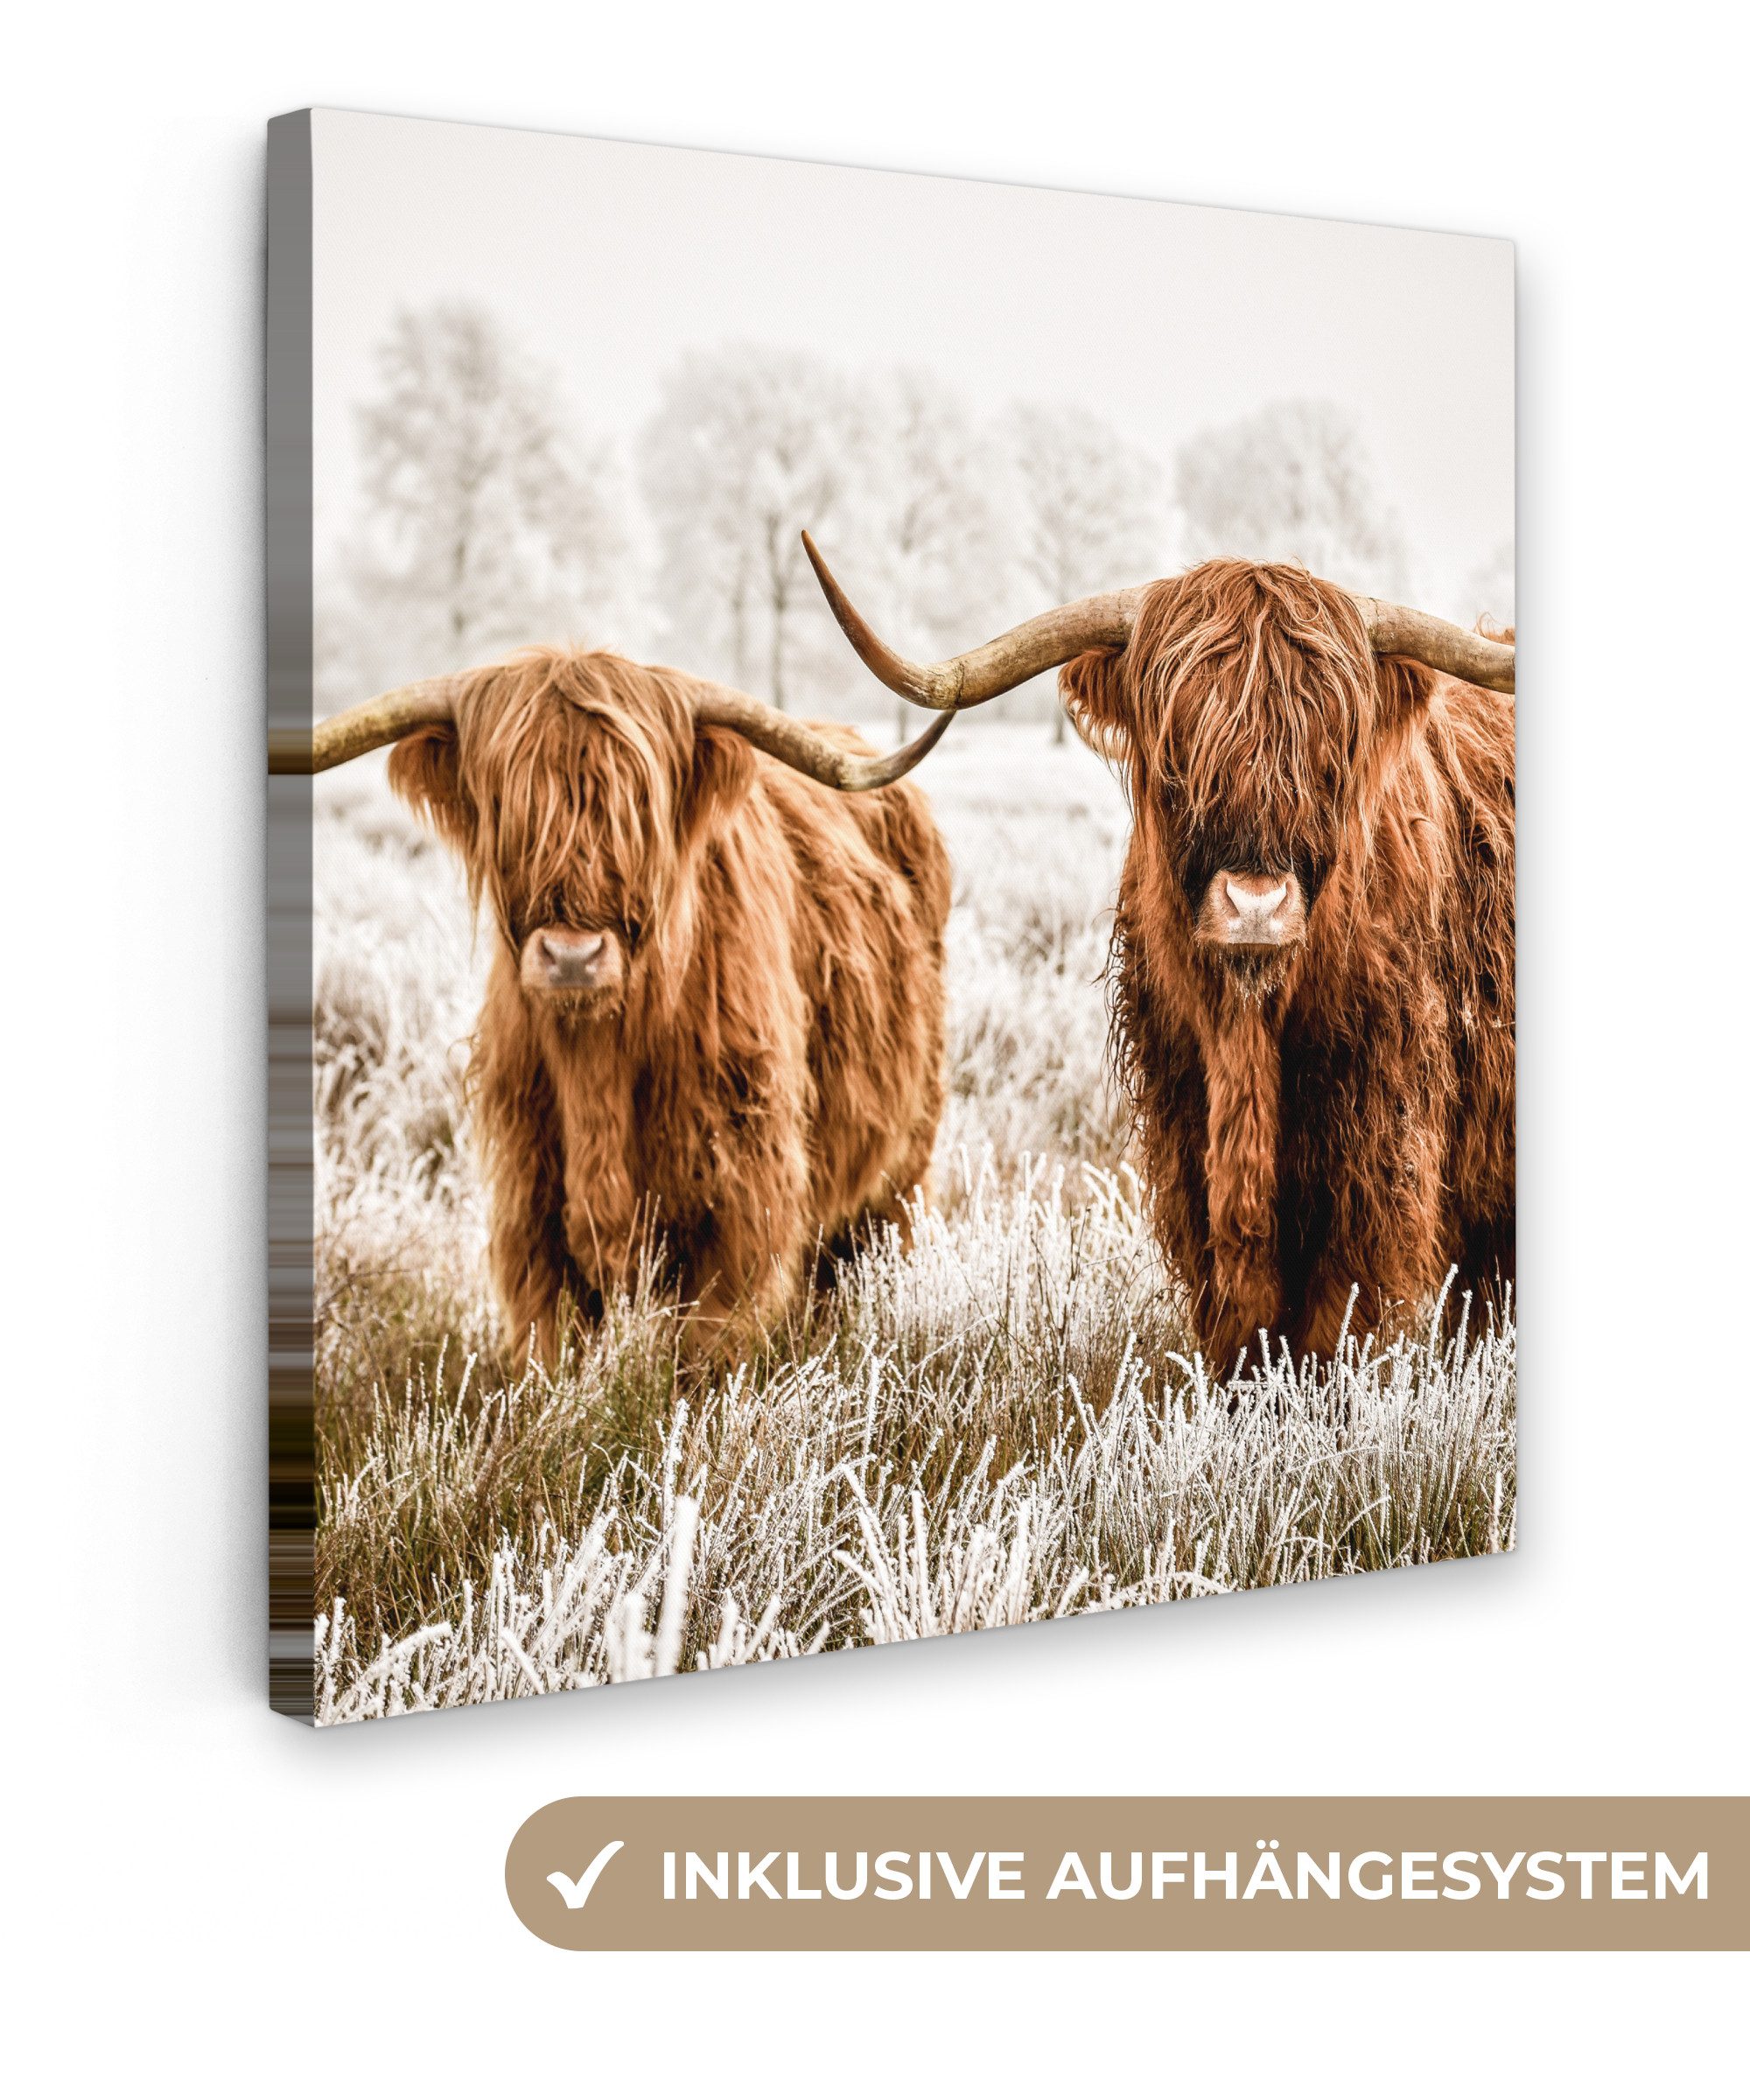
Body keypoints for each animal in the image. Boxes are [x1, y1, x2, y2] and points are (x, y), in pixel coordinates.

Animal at [278, 649, 955, 1360]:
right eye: (506, 807)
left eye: (639, 810)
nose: (573, 956)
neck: (596, 1062)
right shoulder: (529, 1206)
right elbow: (549, 1344)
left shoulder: (742, 1199)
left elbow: (708, 1347)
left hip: (903, 1161)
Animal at [802, 533, 1515, 1374]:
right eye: (1179, 755)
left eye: (1330, 756)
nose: (1256, 905)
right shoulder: (1185, 1137)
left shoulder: (1379, 1151)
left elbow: (1340, 1320)